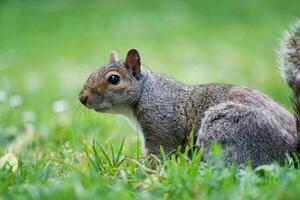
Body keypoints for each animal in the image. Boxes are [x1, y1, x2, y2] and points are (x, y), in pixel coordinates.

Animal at [79, 20, 300, 167]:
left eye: (113, 79)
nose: (82, 98)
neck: (146, 92)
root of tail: (292, 148)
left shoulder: (161, 125)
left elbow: (160, 155)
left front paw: (144, 172)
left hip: (228, 126)